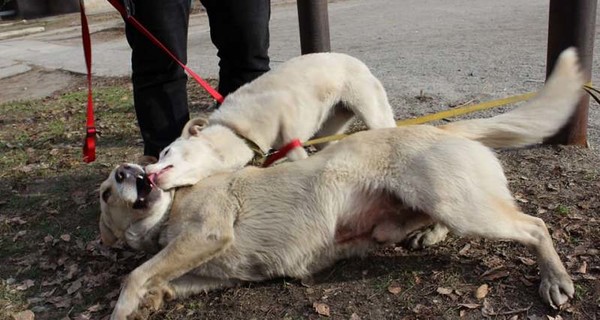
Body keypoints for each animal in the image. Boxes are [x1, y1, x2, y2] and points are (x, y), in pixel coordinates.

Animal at [145, 52, 398, 190]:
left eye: (166, 152)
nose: (146, 172)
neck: (237, 134)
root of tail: (356, 61)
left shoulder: (288, 127)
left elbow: (296, 153)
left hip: (373, 113)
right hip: (329, 126)